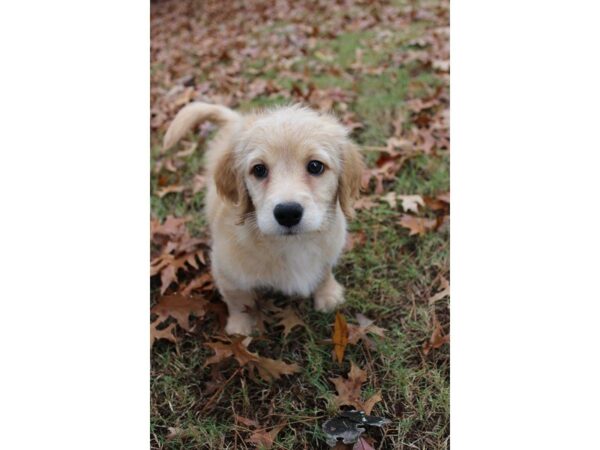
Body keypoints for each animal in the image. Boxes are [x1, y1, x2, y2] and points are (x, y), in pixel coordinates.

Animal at [162, 103, 364, 334]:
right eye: (259, 169)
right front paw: (240, 327)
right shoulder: (228, 273)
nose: (287, 213)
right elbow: (238, 301)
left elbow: (324, 271)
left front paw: (328, 295)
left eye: (315, 166)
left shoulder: (330, 249)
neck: (292, 244)